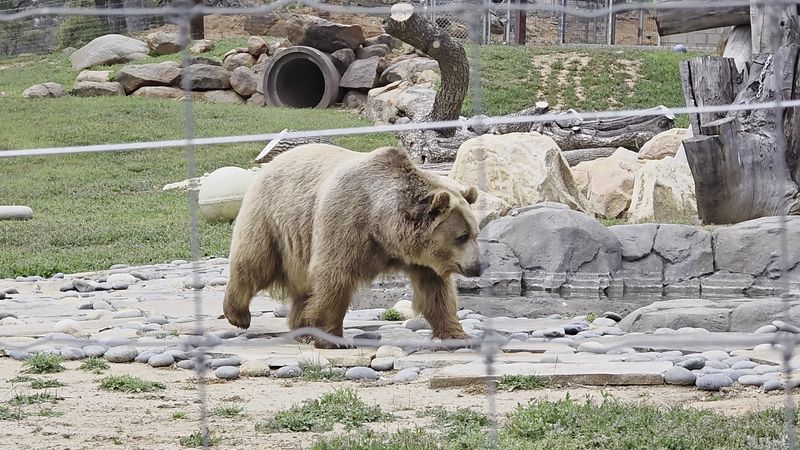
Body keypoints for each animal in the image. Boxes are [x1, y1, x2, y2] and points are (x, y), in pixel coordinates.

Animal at [222, 143, 482, 348]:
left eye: (475, 233)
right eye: (462, 236)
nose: (479, 266)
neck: (382, 226)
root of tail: (272, 163)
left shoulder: (419, 257)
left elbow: (436, 291)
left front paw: (459, 335)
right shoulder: (347, 222)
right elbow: (334, 276)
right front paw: (333, 340)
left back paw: (303, 329)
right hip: (272, 220)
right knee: (254, 263)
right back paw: (238, 315)